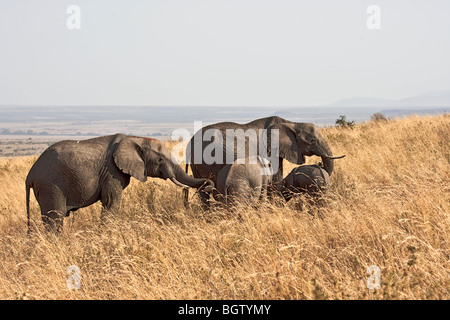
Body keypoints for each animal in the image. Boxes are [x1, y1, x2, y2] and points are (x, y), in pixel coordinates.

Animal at [25, 133, 214, 232]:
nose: (209, 185)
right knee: (54, 218)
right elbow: (111, 202)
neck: (134, 138)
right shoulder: (111, 172)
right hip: (50, 186)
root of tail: (30, 175)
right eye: (160, 160)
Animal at [183, 116, 344, 209]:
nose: (319, 164)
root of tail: (189, 144)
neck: (291, 123)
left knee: (203, 191)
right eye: (312, 140)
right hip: (209, 160)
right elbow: (275, 176)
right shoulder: (269, 150)